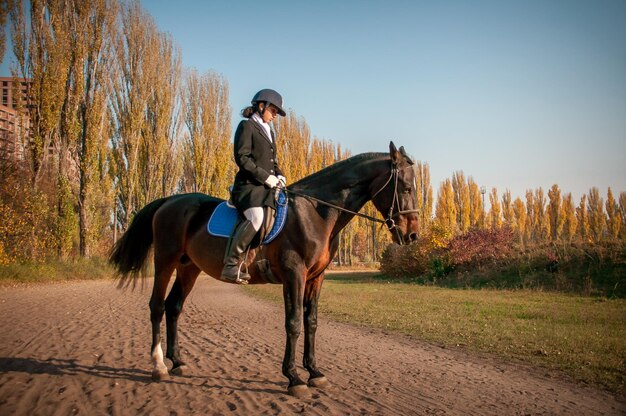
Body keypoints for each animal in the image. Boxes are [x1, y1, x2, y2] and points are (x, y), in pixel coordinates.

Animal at [108, 141, 420, 398]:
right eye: (406, 188)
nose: (412, 235)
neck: (315, 213)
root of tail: (169, 201)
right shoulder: (294, 275)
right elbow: (293, 323)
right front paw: (294, 378)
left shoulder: (315, 278)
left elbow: (311, 322)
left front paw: (314, 372)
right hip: (165, 261)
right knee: (157, 307)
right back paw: (159, 366)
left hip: (189, 268)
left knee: (174, 307)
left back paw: (178, 362)